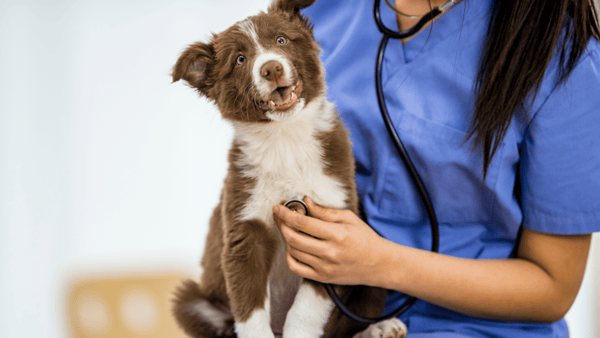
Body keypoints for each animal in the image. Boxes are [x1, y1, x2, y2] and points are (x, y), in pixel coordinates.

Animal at [171, 0, 408, 338]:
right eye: (240, 59)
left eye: (281, 40)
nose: (271, 68)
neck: (285, 139)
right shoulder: (245, 230)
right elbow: (250, 309)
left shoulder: (329, 227)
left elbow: (306, 308)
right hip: (192, 299)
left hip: (371, 269)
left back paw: (379, 327)